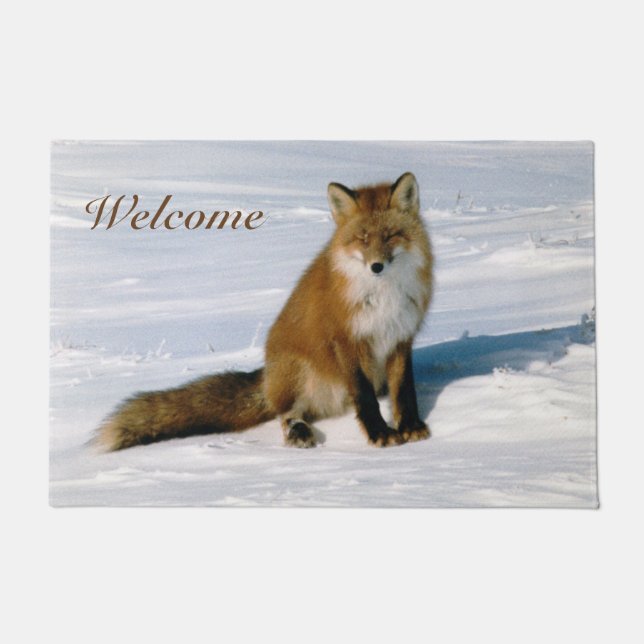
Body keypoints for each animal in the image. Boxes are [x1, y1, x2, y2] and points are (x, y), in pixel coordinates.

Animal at [95, 172, 433, 451]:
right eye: (362, 239)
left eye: (390, 235)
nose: (376, 266)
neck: (383, 295)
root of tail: (267, 376)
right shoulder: (346, 340)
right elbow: (365, 398)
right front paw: (380, 433)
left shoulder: (400, 336)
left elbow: (404, 391)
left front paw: (410, 427)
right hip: (301, 371)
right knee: (287, 413)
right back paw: (298, 432)